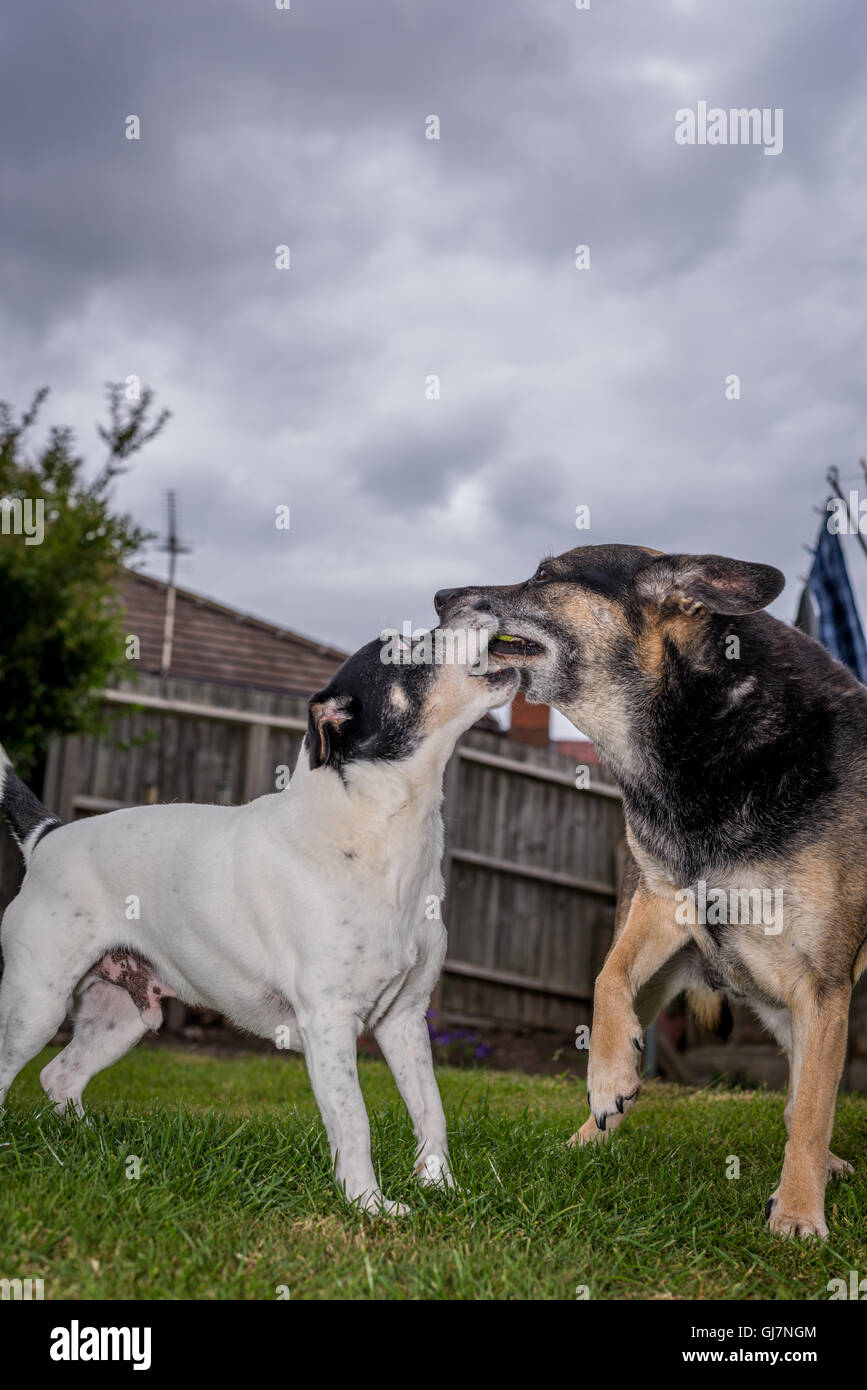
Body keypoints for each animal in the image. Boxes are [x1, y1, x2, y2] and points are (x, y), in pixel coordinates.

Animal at [0, 636, 514, 1212]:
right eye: (405, 648)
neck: (377, 837)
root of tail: (47, 836)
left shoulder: (405, 1017)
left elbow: (431, 1111)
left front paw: (444, 1190)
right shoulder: (330, 1022)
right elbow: (353, 1122)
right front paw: (369, 1205)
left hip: (123, 1018)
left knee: (58, 1075)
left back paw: (91, 1144)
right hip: (35, 1006)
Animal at [436, 542, 867, 1239]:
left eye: (545, 575)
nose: (440, 598)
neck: (695, 737)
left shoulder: (822, 983)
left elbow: (810, 1110)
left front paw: (800, 1213)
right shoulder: (665, 904)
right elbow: (606, 977)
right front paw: (610, 1080)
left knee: (807, 1094)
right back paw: (586, 1137)